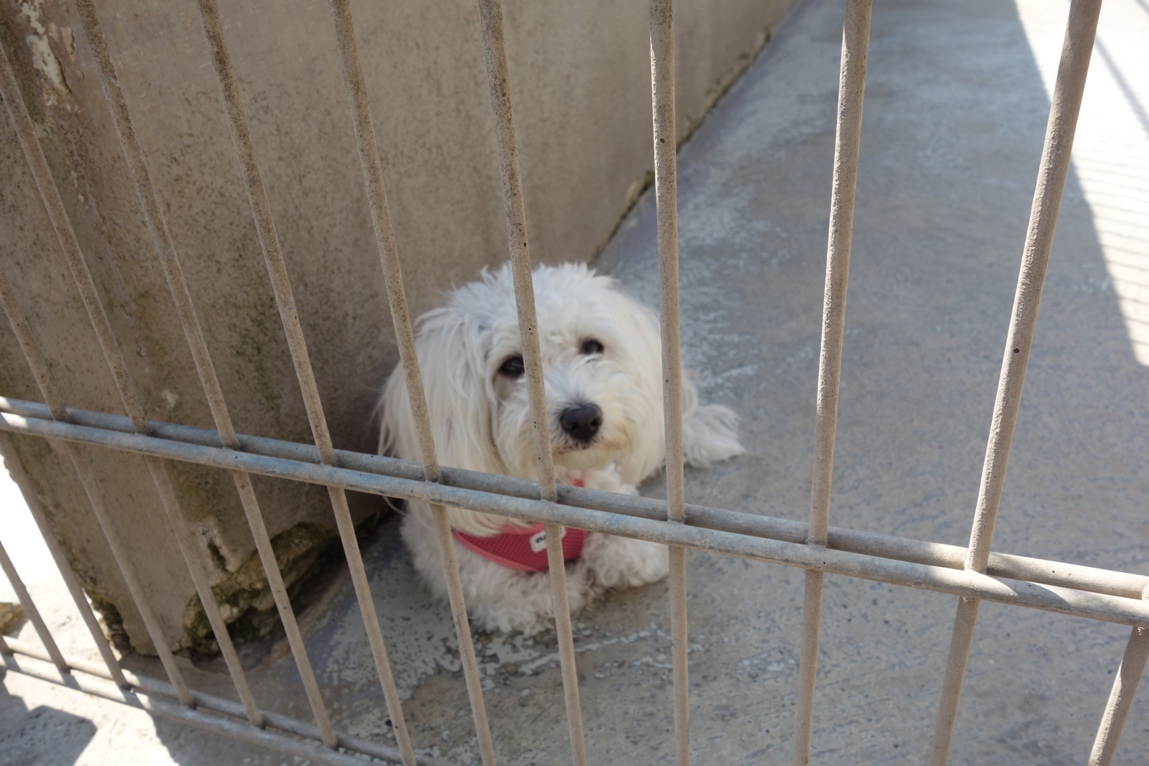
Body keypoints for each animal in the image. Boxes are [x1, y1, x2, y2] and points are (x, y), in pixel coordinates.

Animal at [379, 264, 744, 633]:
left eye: (592, 347)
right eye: (513, 365)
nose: (582, 418)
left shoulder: (623, 518)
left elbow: (624, 554)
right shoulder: (488, 592)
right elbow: (553, 593)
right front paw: (581, 580)